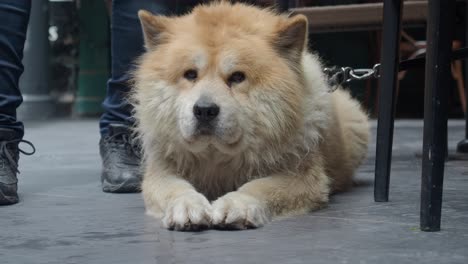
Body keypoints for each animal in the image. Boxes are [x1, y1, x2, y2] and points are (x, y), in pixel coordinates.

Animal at [132, 1, 370, 230]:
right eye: (190, 74)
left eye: (237, 77)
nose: (204, 110)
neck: (217, 157)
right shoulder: (161, 171)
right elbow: (176, 189)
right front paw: (187, 207)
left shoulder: (301, 176)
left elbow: (259, 187)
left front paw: (237, 205)